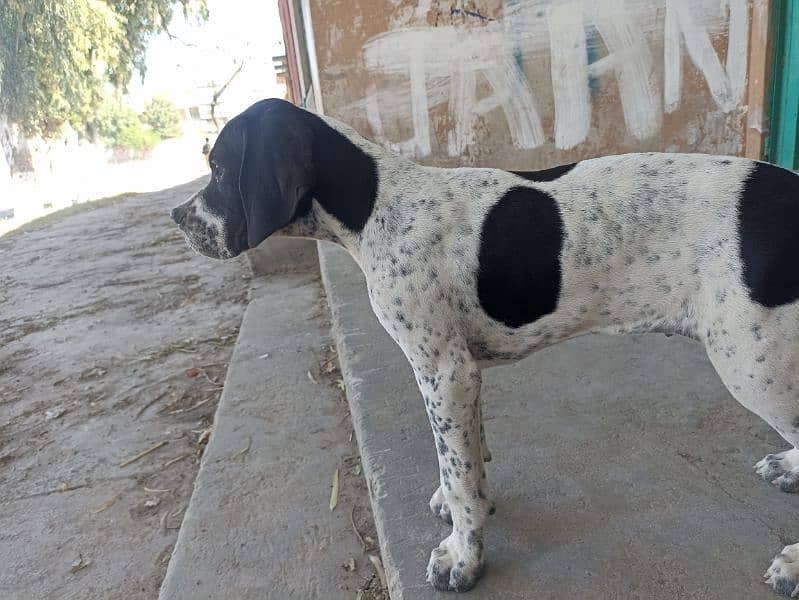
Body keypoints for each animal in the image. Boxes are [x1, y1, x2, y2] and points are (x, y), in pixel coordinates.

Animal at [173, 99, 799, 596]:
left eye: (219, 168)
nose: (177, 217)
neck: (376, 209)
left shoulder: (443, 371)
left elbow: (460, 475)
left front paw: (462, 556)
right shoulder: (462, 373)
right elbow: (464, 461)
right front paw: (457, 505)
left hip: (752, 362)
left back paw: (792, 562)